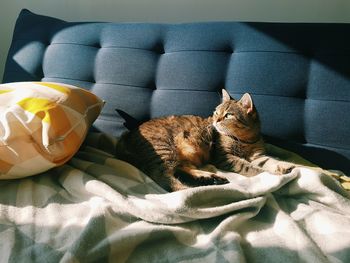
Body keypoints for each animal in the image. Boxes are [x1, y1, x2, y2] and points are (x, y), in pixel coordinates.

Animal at [115, 90, 296, 192]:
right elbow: (252, 168)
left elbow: (269, 161)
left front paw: (284, 165)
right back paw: (188, 190)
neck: (245, 139)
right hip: (164, 150)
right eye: (216, 112)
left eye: (228, 115)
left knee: (180, 168)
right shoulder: (225, 157)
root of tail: (126, 137)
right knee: (164, 177)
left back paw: (210, 177)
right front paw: (270, 174)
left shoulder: (257, 155)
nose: (216, 120)